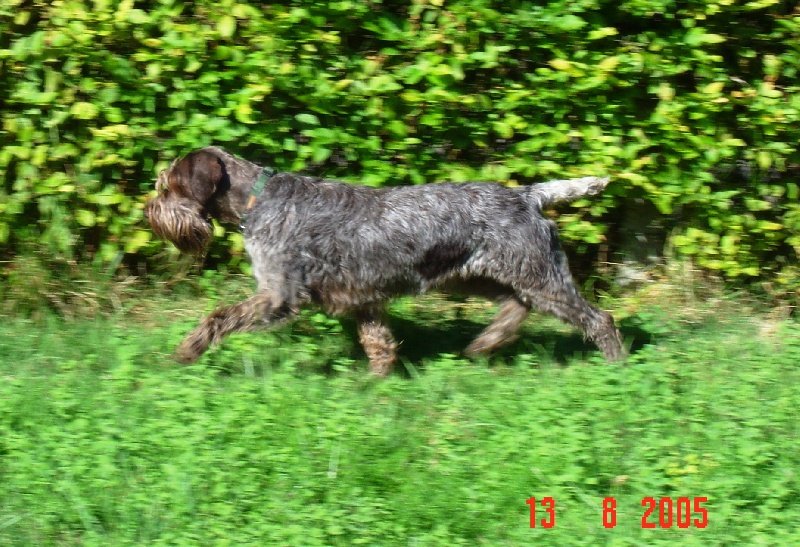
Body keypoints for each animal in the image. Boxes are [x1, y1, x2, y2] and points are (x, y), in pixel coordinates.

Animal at [145, 146, 624, 376]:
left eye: (167, 186)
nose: (149, 212)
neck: (256, 201)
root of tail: (528, 195)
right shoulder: (363, 297)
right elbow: (378, 343)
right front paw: (375, 383)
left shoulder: (279, 294)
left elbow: (217, 317)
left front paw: (186, 351)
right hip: (478, 275)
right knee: (515, 306)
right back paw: (484, 343)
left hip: (539, 276)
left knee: (599, 319)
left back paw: (617, 370)